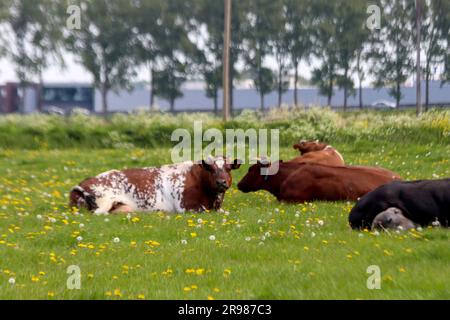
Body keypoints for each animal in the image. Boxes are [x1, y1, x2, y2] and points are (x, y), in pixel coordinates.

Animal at [69, 156, 241, 215]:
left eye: (228, 168)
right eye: (210, 169)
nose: (221, 182)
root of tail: (82, 183)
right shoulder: (185, 207)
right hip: (103, 202)